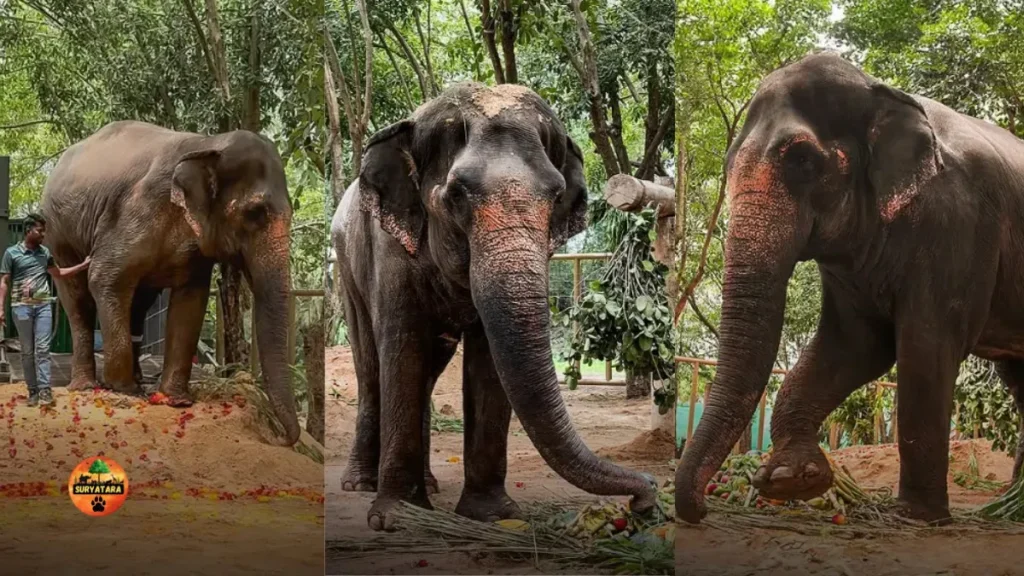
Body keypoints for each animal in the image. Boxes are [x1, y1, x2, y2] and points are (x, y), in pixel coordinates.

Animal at [41, 120, 300, 446]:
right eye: (255, 213)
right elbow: (105, 276)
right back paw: (88, 386)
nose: (281, 438)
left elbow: (191, 299)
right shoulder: (136, 212)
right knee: (77, 297)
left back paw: (137, 379)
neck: (209, 143)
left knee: (139, 304)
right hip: (58, 233)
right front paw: (125, 390)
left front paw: (175, 400)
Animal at [332, 82, 658, 531]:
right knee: (369, 365)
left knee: (428, 372)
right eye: (456, 195)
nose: (647, 496)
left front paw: (491, 516)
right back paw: (360, 484)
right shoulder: (389, 249)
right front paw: (397, 518)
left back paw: (428, 484)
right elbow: (402, 345)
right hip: (345, 265)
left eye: (557, 195)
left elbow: (487, 361)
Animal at [675, 52, 1024, 526]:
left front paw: (917, 517)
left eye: (802, 160)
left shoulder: (960, 222)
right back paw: (1013, 505)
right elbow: (854, 345)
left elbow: (925, 346)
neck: (885, 93)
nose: (698, 510)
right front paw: (793, 479)